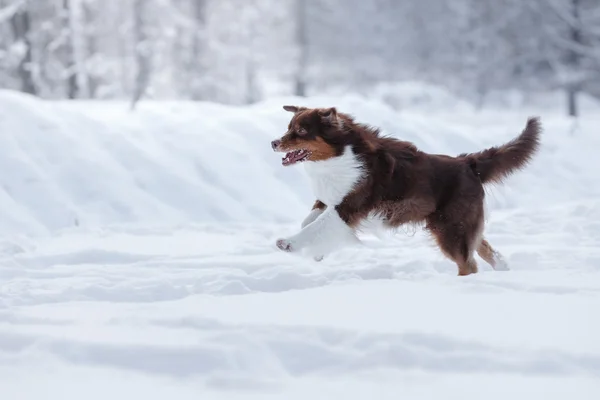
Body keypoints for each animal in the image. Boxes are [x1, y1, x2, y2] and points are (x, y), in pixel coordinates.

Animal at [270, 104, 540, 276]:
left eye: (301, 131)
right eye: (288, 127)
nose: (273, 142)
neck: (341, 154)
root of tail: (468, 163)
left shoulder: (350, 205)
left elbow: (317, 226)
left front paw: (290, 244)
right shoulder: (329, 198)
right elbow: (310, 221)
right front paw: (318, 253)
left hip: (450, 229)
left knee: (468, 264)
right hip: (458, 224)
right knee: (483, 248)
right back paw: (502, 270)